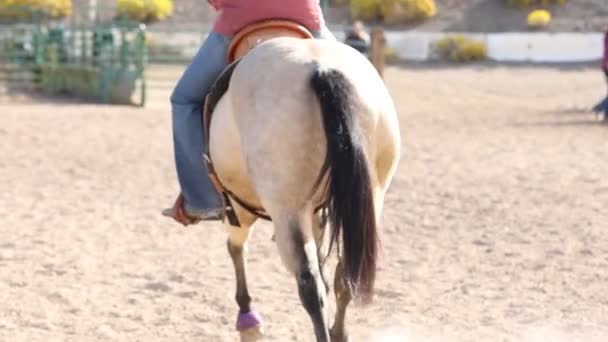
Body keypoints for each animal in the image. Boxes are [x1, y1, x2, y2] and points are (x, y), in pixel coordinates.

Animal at [205, 22, 400, 342]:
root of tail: (321, 69)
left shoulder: (238, 206)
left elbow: (236, 248)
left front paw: (247, 318)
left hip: (286, 210)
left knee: (310, 285)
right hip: (372, 196)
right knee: (343, 275)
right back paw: (338, 331)